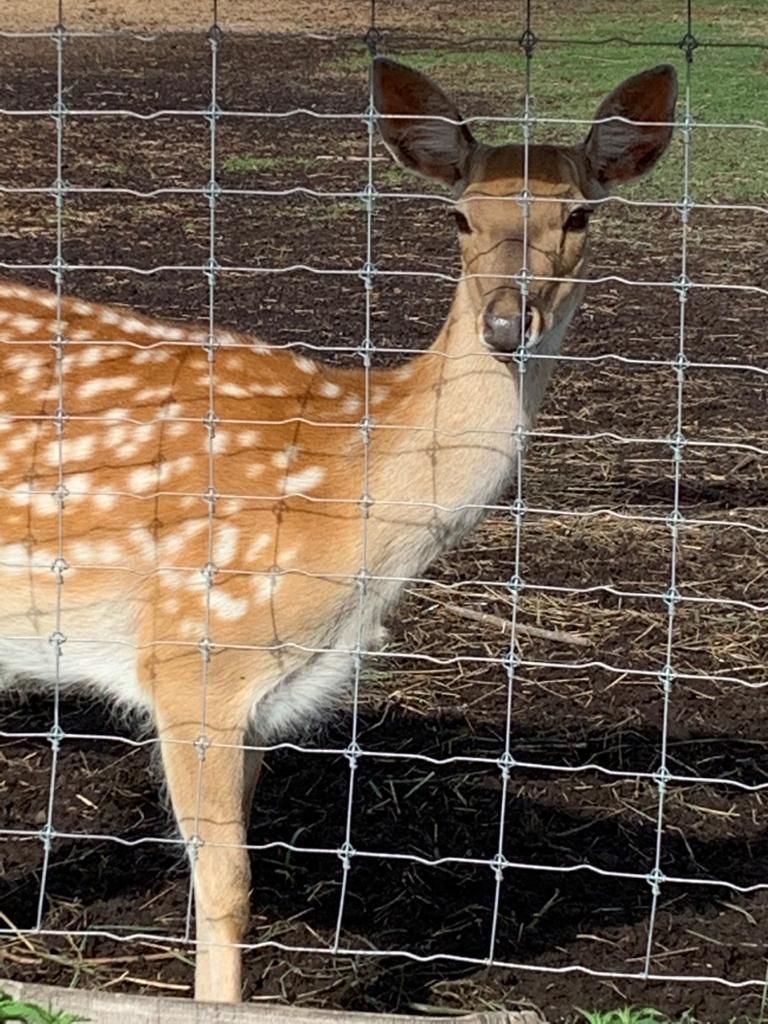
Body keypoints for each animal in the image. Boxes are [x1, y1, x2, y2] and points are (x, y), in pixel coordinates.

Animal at [1, 56, 679, 999]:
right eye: (459, 214)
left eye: (578, 214)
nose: (508, 323)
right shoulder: (191, 650)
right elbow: (227, 888)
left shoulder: (260, 694)